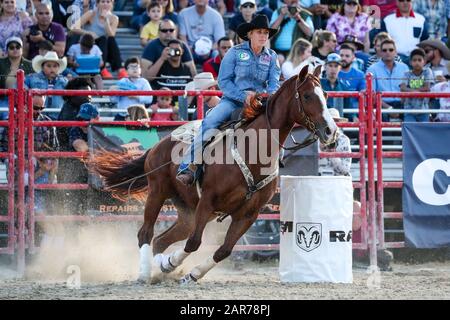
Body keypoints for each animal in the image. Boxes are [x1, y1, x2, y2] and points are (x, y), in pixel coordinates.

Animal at [88, 64, 336, 282]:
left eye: (324, 94)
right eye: (307, 96)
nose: (330, 131)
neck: (252, 151)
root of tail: (158, 145)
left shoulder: (248, 214)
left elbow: (223, 250)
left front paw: (189, 273)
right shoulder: (207, 201)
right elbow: (194, 243)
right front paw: (175, 264)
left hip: (188, 211)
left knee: (160, 240)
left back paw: (161, 267)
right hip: (158, 192)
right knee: (146, 234)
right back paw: (145, 273)